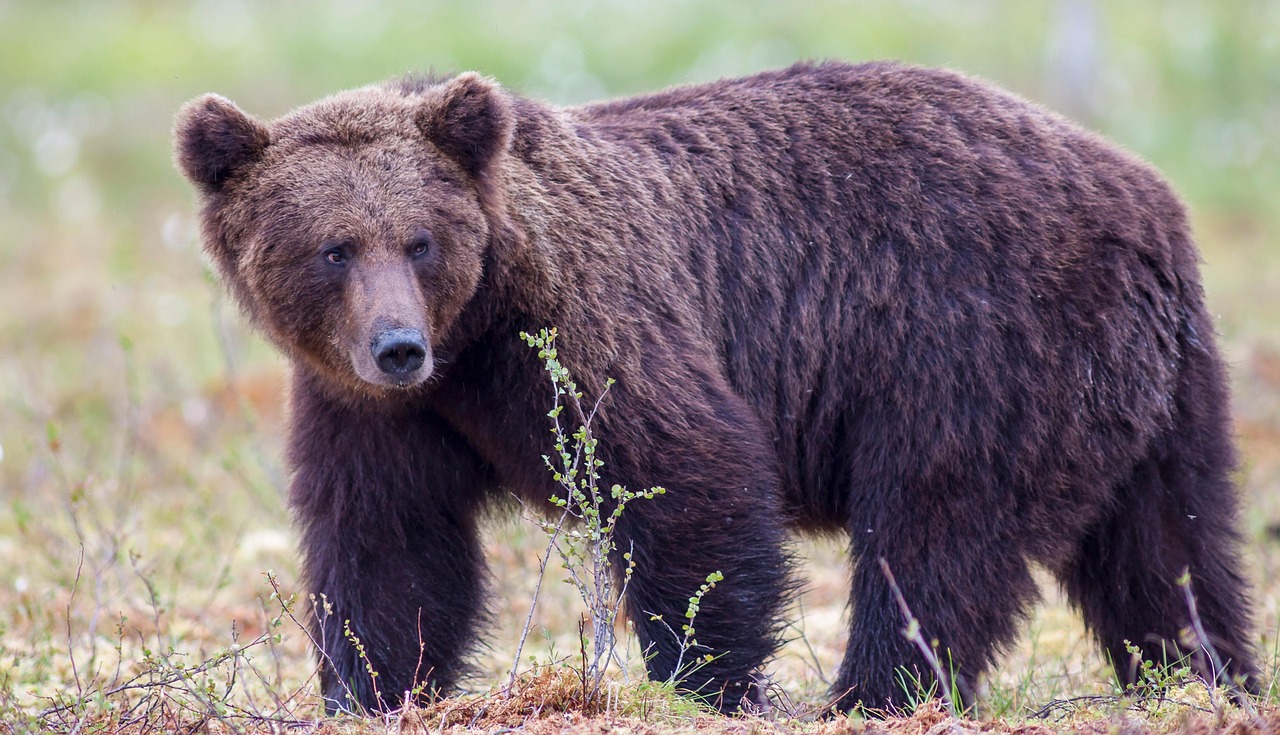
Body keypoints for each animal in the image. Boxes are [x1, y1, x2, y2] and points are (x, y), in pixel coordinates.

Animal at [173, 61, 1257, 714]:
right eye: (332, 248)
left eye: (419, 240)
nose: (397, 345)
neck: (473, 337)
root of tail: (1145, 199)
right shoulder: (374, 410)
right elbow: (388, 548)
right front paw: (375, 688)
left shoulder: (585, 324)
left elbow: (688, 476)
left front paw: (708, 681)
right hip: (1155, 391)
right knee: (1167, 550)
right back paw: (1203, 680)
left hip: (975, 344)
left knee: (935, 534)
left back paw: (870, 694)